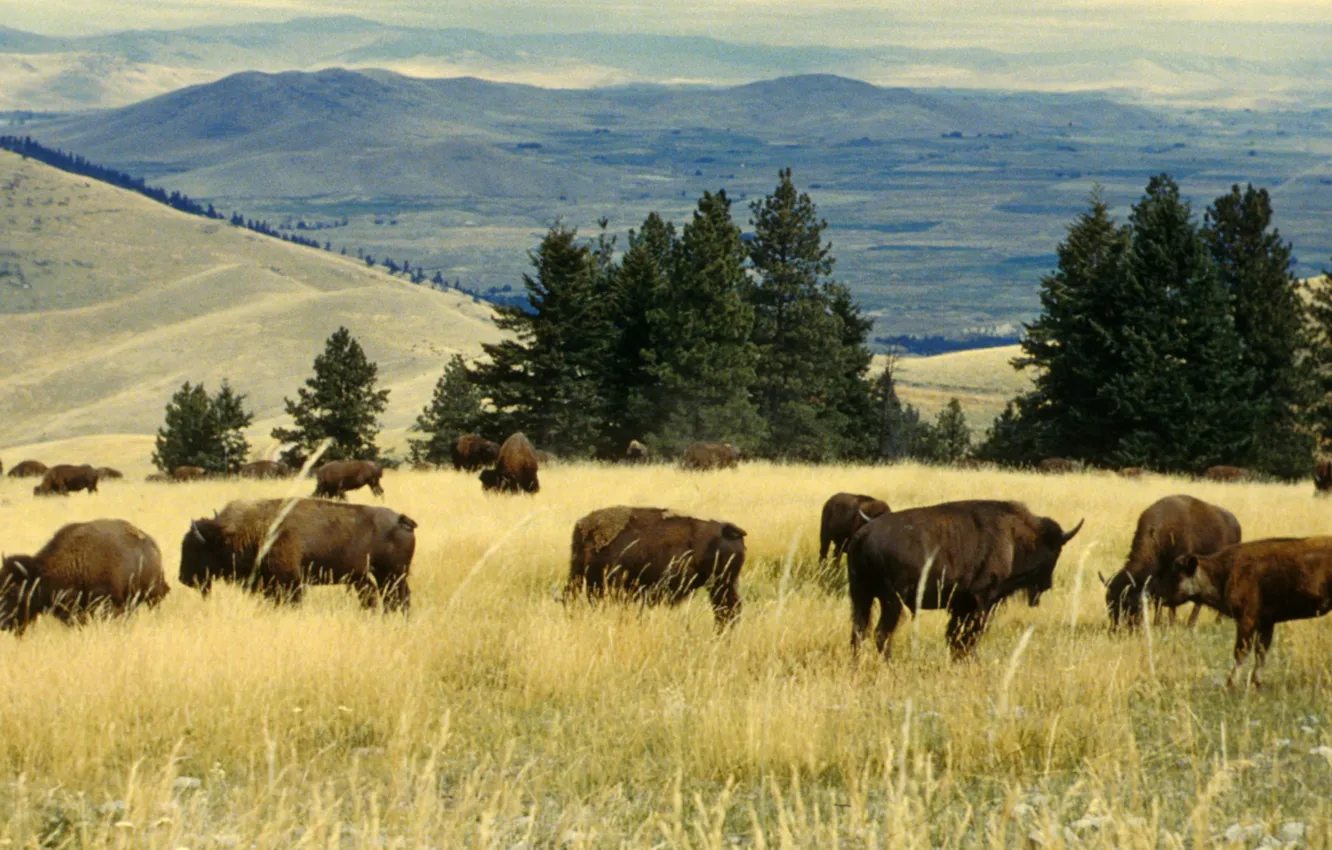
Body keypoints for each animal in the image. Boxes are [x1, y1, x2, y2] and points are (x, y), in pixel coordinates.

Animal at [180, 498, 416, 610]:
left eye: (195, 549)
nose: (183, 578)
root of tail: (401, 520)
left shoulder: (290, 582)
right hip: (376, 576)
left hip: (392, 574)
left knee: (398, 597)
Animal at [847, 500, 1083, 660]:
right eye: (1055, 551)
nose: (1047, 584)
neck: (1015, 538)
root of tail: (864, 534)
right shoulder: (982, 600)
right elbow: (969, 636)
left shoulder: (960, 605)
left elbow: (955, 636)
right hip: (890, 601)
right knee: (880, 633)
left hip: (861, 597)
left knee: (859, 631)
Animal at [1101, 495, 1240, 631]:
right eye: (1108, 602)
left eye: (1129, 604)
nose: (1115, 630)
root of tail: (1235, 523)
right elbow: (1158, 600)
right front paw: (1157, 623)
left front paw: (1170, 624)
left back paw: (1205, 623)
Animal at [1158, 537, 1332, 688]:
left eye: (1175, 575)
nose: (1160, 597)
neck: (1224, 571)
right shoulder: (1266, 623)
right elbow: (1260, 653)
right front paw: (1256, 684)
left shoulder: (1246, 621)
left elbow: (1241, 652)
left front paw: (1231, 684)